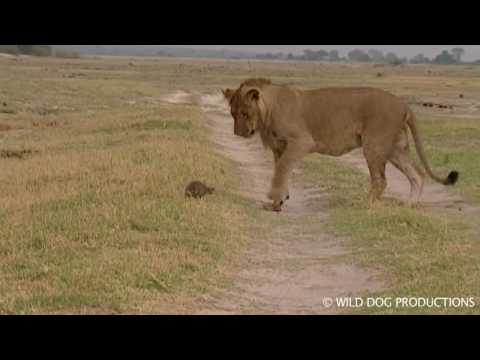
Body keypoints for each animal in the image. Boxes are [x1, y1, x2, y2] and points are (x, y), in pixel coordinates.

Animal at [221, 76, 458, 211]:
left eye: (244, 113)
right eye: (232, 113)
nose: (238, 133)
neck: (267, 111)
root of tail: (403, 104)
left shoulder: (301, 141)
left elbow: (280, 171)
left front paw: (274, 200)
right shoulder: (280, 147)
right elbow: (281, 171)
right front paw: (278, 201)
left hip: (374, 145)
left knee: (380, 180)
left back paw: (364, 205)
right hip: (394, 148)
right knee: (417, 174)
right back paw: (409, 205)